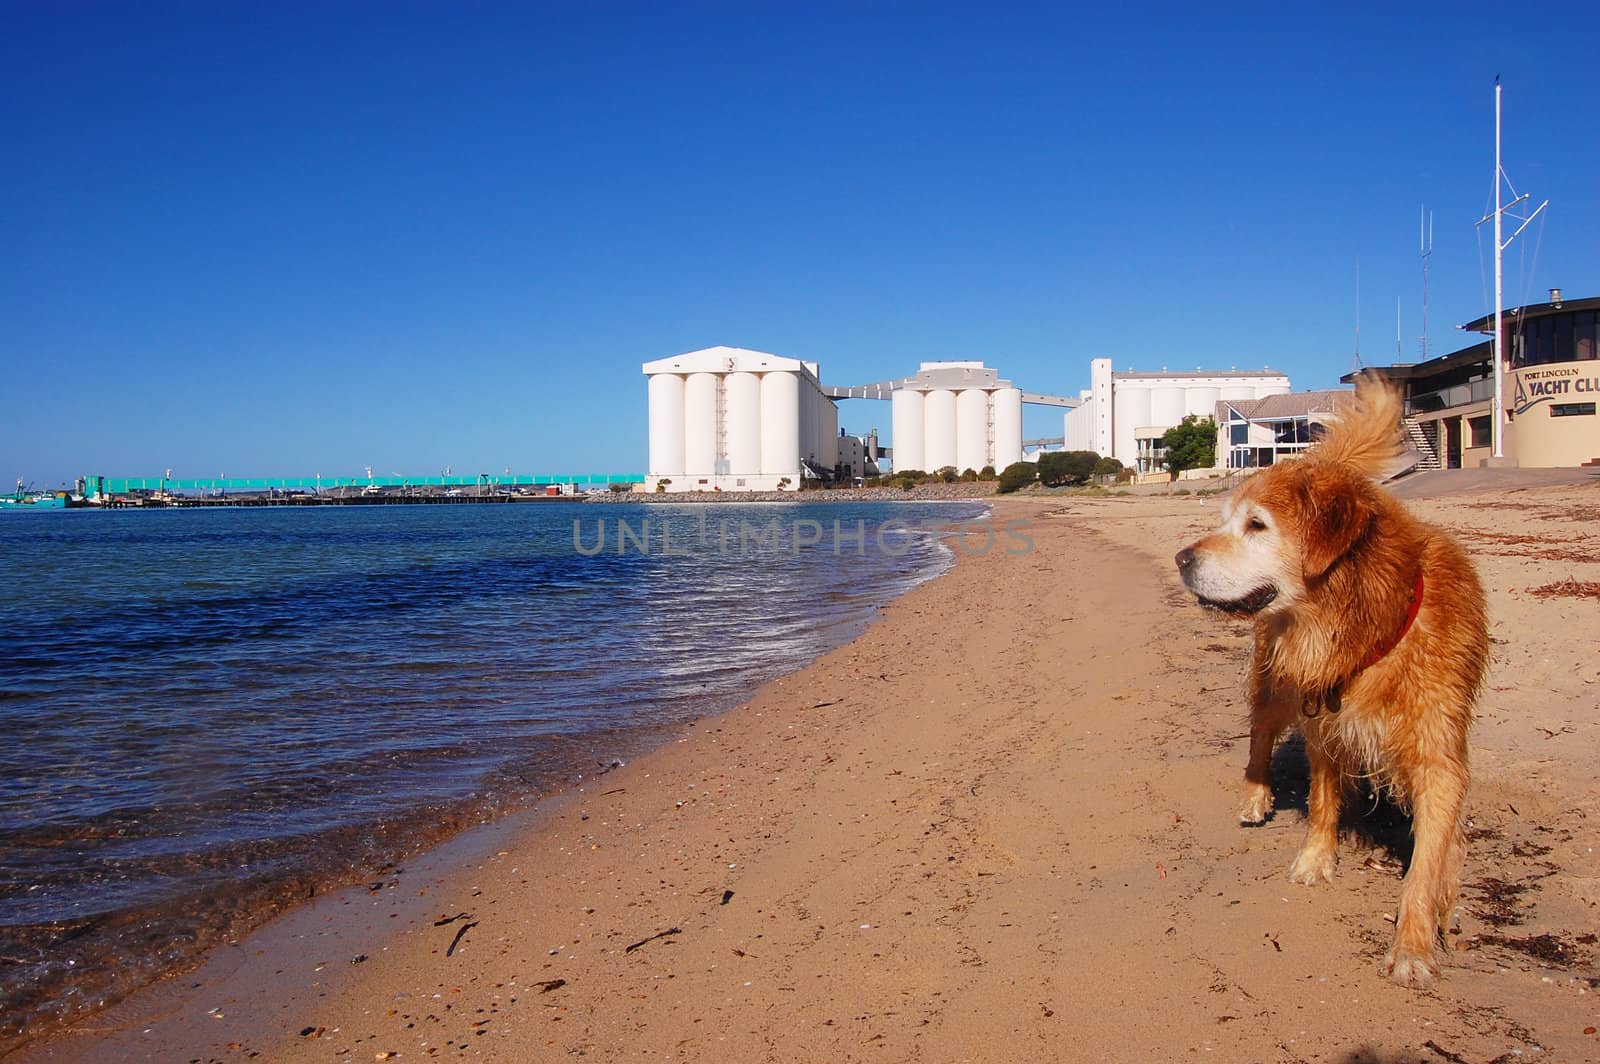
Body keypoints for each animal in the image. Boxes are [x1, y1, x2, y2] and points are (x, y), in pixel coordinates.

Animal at [1177, 376, 1484, 985]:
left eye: (1256, 525)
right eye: (1227, 520)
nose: (1180, 558)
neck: (1366, 629)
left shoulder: (1439, 751)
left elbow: (1430, 856)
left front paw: (1419, 937)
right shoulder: (1322, 721)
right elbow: (1322, 802)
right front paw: (1316, 859)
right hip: (1275, 683)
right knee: (1261, 734)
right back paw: (1256, 795)